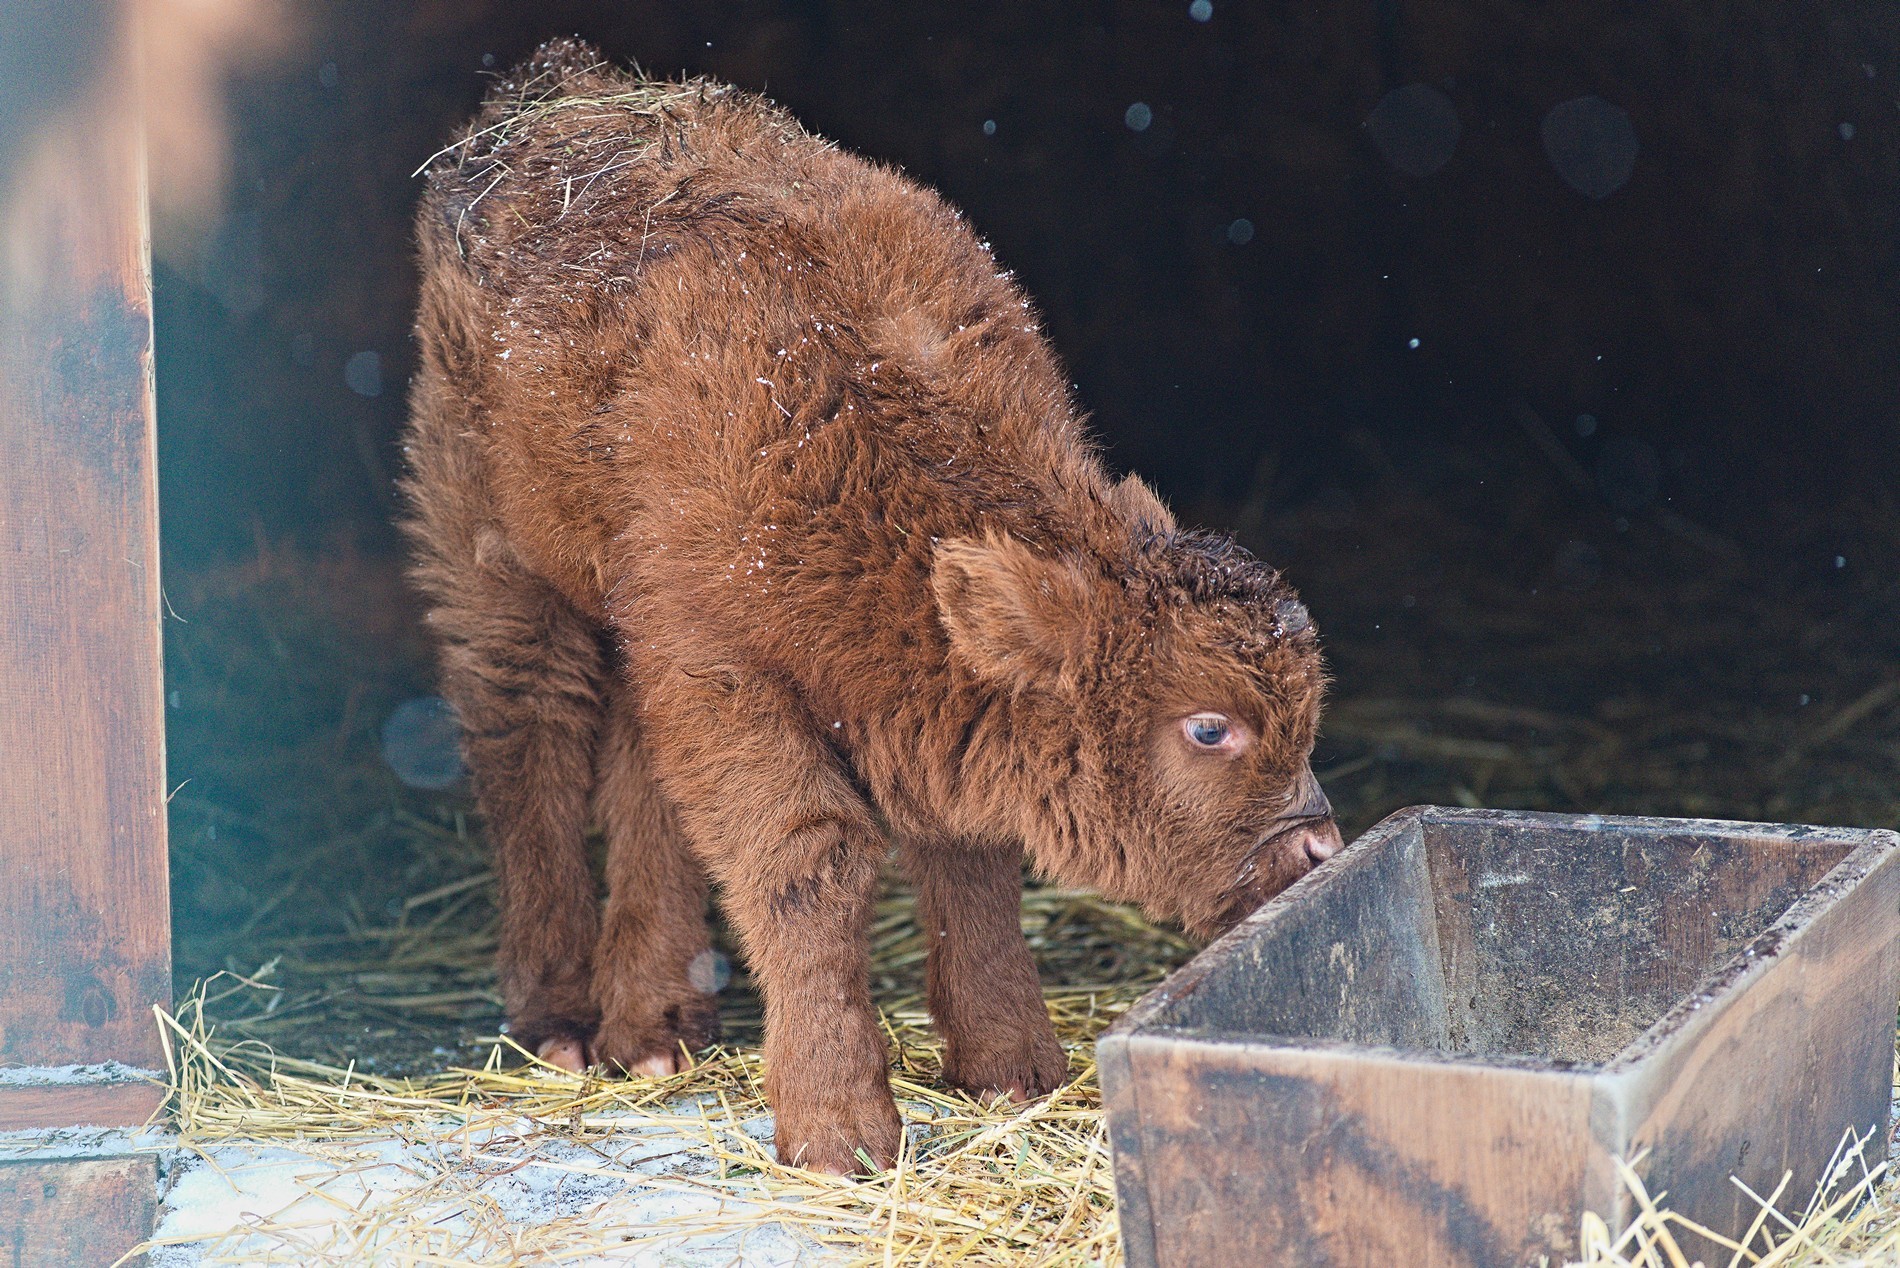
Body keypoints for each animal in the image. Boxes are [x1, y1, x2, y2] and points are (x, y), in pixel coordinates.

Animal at [400, 37, 1337, 1171]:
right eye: (1207, 725)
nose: (1317, 848)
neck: (866, 427)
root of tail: (544, 94)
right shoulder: (725, 672)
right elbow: (810, 860)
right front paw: (839, 1130)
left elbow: (971, 859)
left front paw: (1011, 1065)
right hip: (488, 548)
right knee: (524, 731)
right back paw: (563, 1019)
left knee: (635, 774)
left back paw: (658, 1023)